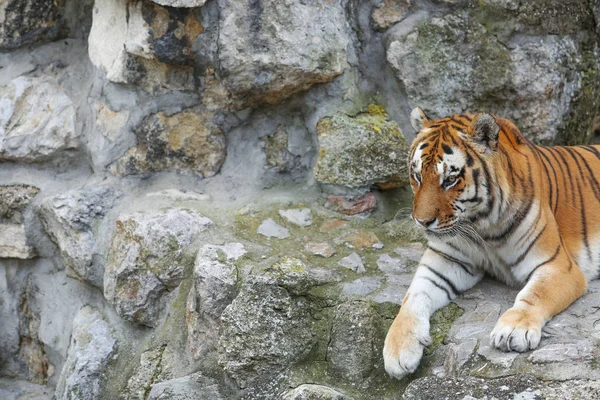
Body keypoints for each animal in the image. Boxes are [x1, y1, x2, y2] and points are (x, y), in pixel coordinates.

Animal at [382, 108, 596, 380]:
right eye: (417, 176)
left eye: (450, 179)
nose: (422, 222)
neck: (482, 227)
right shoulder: (446, 261)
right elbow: (413, 296)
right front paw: (398, 349)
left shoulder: (557, 265)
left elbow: (535, 293)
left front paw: (513, 330)